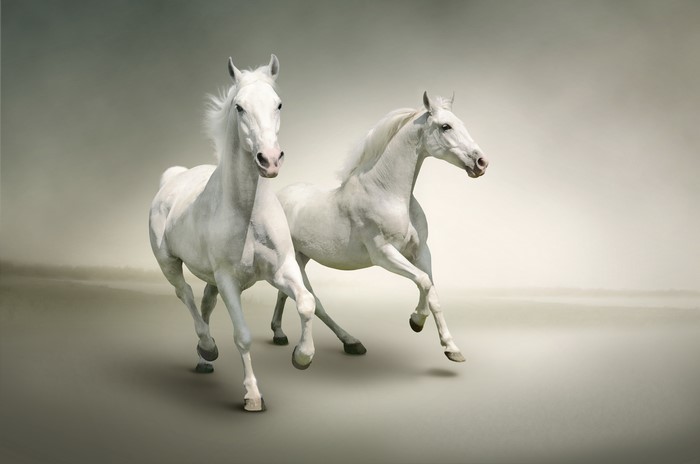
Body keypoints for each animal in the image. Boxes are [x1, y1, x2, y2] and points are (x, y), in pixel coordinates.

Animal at [149, 55, 315, 412]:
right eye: (239, 107)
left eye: (278, 104)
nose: (269, 159)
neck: (248, 213)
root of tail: (173, 178)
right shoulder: (228, 280)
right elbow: (243, 336)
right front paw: (252, 396)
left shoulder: (281, 269)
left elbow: (306, 302)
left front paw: (302, 356)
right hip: (169, 263)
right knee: (185, 294)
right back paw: (207, 347)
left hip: (210, 278)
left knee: (205, 303)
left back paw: (203, 359)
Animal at [270, 92, 488, 362]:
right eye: (445, 126)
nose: (481, 162)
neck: (387, 193)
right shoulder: (384, 254)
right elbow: (424, 282)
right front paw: (416, 321)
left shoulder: (421, 252)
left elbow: (433, 292)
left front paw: (451, 348)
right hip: (296, 261)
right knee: (313, 301)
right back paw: (348, 342)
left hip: (301, 257)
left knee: (285, 293)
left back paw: (280, 334)